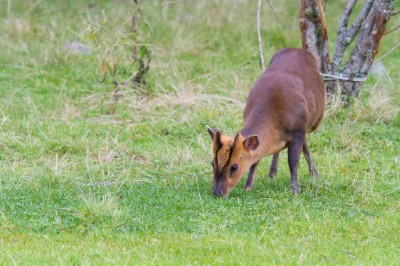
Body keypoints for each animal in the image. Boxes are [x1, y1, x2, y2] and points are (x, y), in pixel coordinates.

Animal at [209, 47, 324, 196]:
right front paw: (248, 186)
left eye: (234, 167)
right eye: (212, 163)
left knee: (304, 145)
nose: (217, 192)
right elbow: (255, 161)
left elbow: (293, 161)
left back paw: (314, 174)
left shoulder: (298, 130)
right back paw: (272, 172)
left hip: (313, 120)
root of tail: (298, 49)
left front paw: (295, 190)